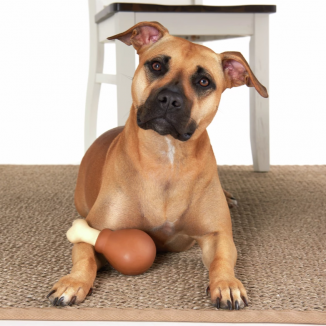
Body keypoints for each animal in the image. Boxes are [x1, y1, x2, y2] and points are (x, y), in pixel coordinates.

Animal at [47, 21, 268, 310]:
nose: (170, 99)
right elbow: (84, 256)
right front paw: (73, 282)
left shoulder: (217, 235)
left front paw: (227, 284)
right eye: (156, 66)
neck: (167, 158)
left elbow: (222, 259)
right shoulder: (93, 231)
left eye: (204, 81)